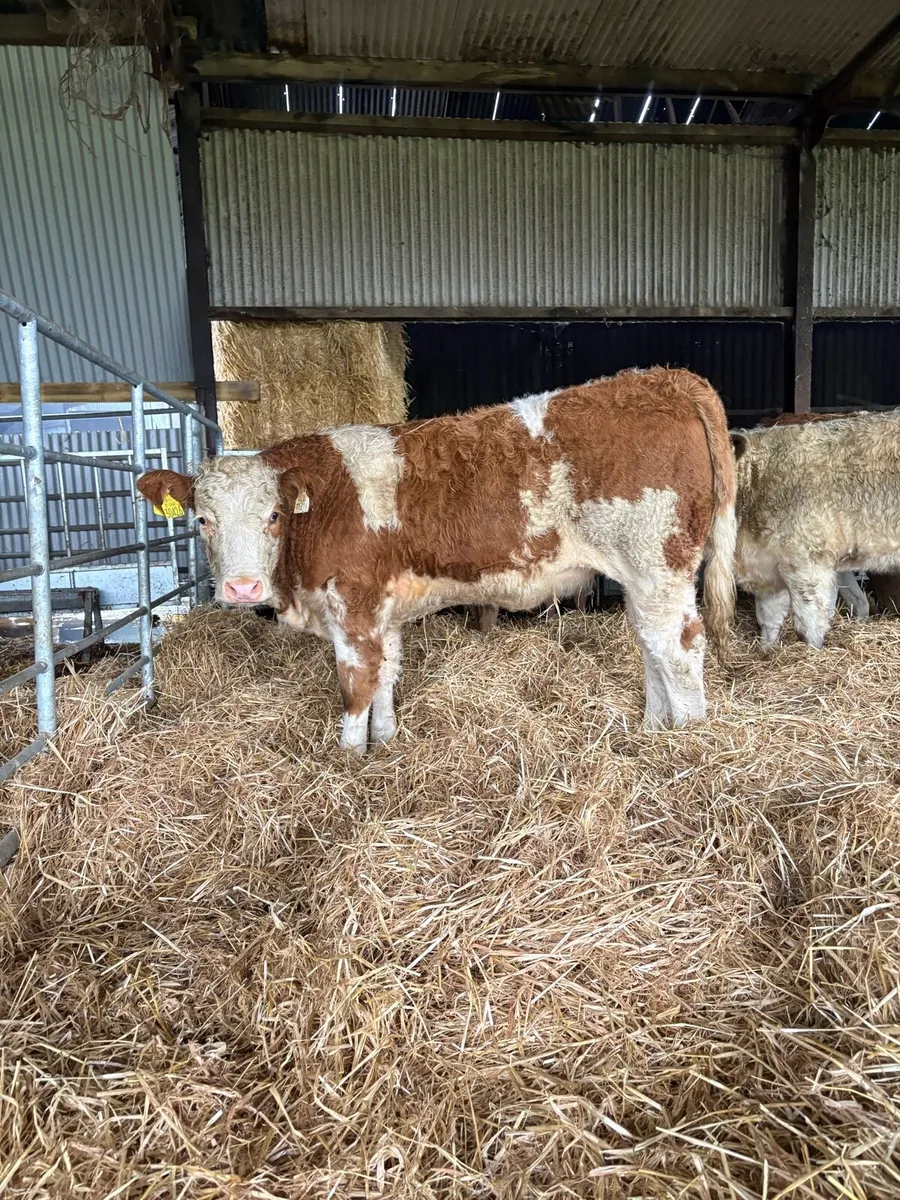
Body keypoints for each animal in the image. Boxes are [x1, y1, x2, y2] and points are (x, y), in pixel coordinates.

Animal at [137, 368, 736, 752]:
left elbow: (355, 683)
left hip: (658, 562)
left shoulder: (353, 605)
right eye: (202, 520)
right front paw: (385, 744)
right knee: (650, 644)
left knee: (679, 647)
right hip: (642, 577)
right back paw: (655, 730)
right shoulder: (382, 611)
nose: (242, 589)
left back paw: (689, 744)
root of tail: (664, 377)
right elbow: (385, 675)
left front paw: (347, 761)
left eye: (273, 515)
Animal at [731, 409, 900, 649]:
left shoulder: (806, 562)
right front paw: (766, 650)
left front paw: (811, 652)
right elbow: (768, 619)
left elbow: (808, 625)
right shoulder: (771, 563)